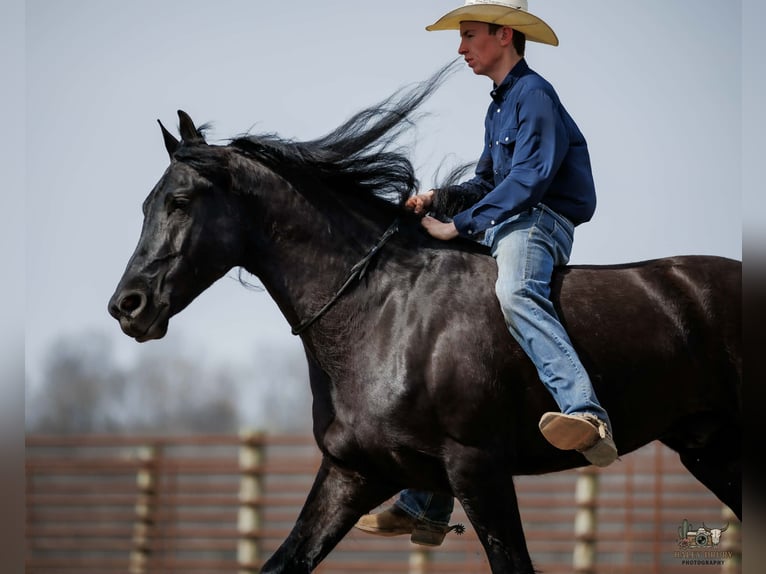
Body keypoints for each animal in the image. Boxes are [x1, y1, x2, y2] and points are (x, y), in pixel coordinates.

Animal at [108, 67, 742, 573]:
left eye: (180, 202)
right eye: (145, 205)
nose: (126, 306)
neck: (384, 314)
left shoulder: (480, 470)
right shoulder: (352, 474)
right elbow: (283, 561)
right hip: (711, 450)